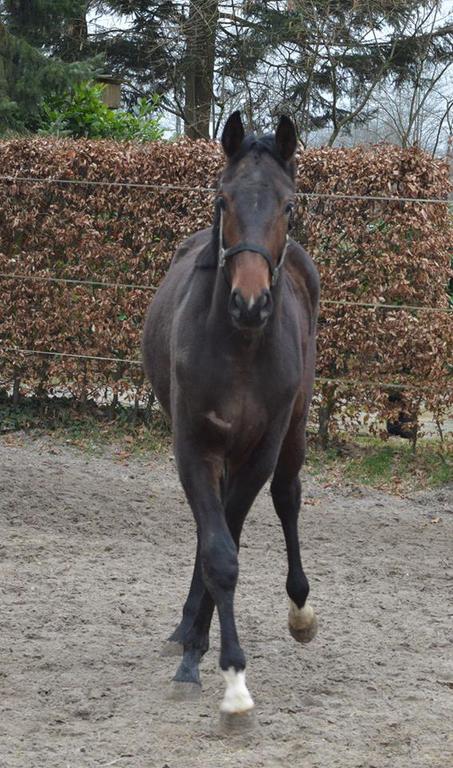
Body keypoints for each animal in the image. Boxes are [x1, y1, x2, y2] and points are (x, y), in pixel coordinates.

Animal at [142, 112, 320, 725]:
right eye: (224, 198)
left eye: (288, 206)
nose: (250, 303)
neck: (240, 348)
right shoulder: (194, 445)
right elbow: (217, 552)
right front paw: (211, 664)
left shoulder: (259, 452)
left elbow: (232, 541)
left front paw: (226, 668)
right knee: (211, 528)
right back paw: (187, 629)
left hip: (293, 432)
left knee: (287, 498)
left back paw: (299, 610)